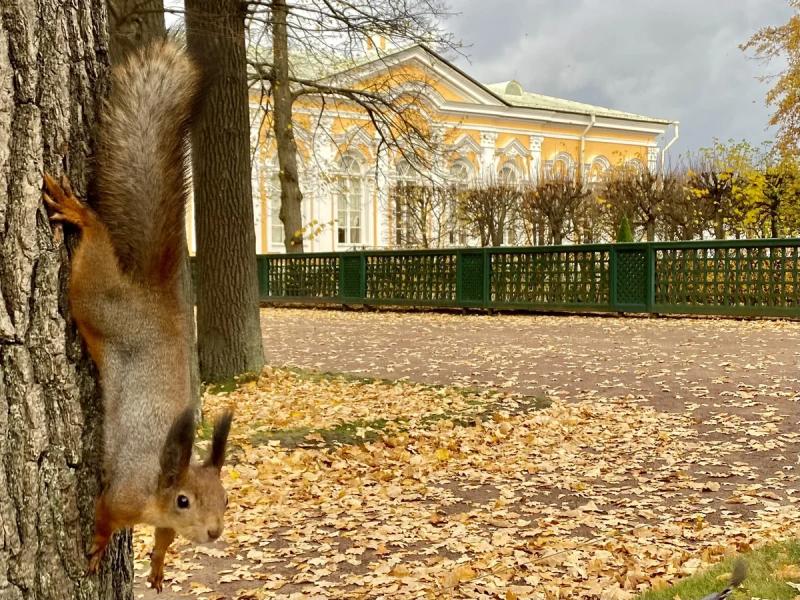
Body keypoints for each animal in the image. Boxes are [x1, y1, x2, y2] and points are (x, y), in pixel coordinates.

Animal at [42, 41, 233, 592]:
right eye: (184, 500)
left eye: (226, 497)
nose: (214, 533)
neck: (157, 492)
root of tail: (153, 296)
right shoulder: (123, 495)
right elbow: (105, 514)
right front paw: (98, 545)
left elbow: (165, 541)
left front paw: (160, 563)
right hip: (97, 300)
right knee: (92, 254)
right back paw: (80, 215)